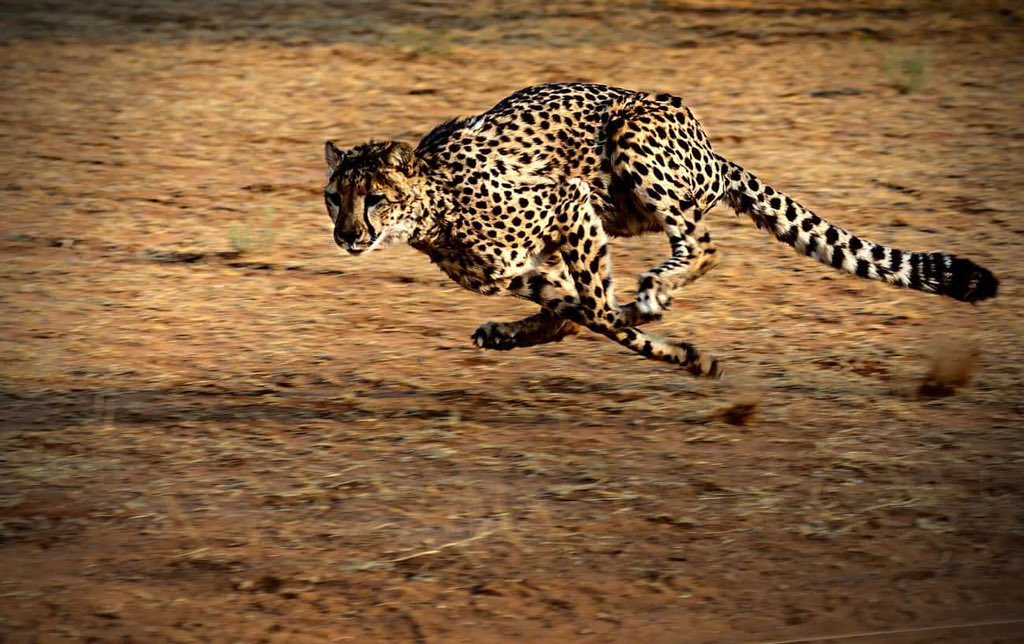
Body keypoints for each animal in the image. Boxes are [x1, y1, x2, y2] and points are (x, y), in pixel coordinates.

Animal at [323, 82, 998, 378]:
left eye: (374, 198)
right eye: (334, 198)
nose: (347, 236)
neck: (434, 209)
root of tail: (711, 147)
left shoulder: (568, 202)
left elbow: (599, 311)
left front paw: (683, 352)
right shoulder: (524, 270)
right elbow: (581, 313)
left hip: (631, 143)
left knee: (702, 244)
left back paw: (655, 291)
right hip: (619, 209)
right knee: (591, 305)